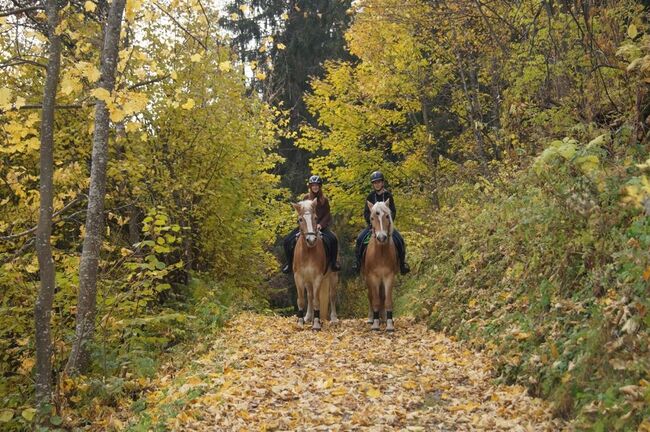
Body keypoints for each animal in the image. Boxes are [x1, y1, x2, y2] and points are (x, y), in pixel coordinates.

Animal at [290, 199, 336, 330]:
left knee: (332, 295)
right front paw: (300, 322)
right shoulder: (299, 277)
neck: (308, 252)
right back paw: (307, 317)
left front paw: (316, 324)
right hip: (307, 280)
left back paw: (334, 319)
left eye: (315, 218)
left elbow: (317, 300)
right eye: (300, 219)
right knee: (309, 296)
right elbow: (301, 300)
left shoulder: (317, 278)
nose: (311, 240)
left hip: (333, 275)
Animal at [362, 199, 398, 330]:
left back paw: (383, 318)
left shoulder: (389, 276)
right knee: (371, 296)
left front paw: (389, 324)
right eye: (372, 218)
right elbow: (375, 300)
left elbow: (387, 300)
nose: (381, 237)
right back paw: (372, 318)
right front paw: (375, 324)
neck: (381, 253)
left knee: (382, 296)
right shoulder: (373, 277)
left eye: (387, 216)